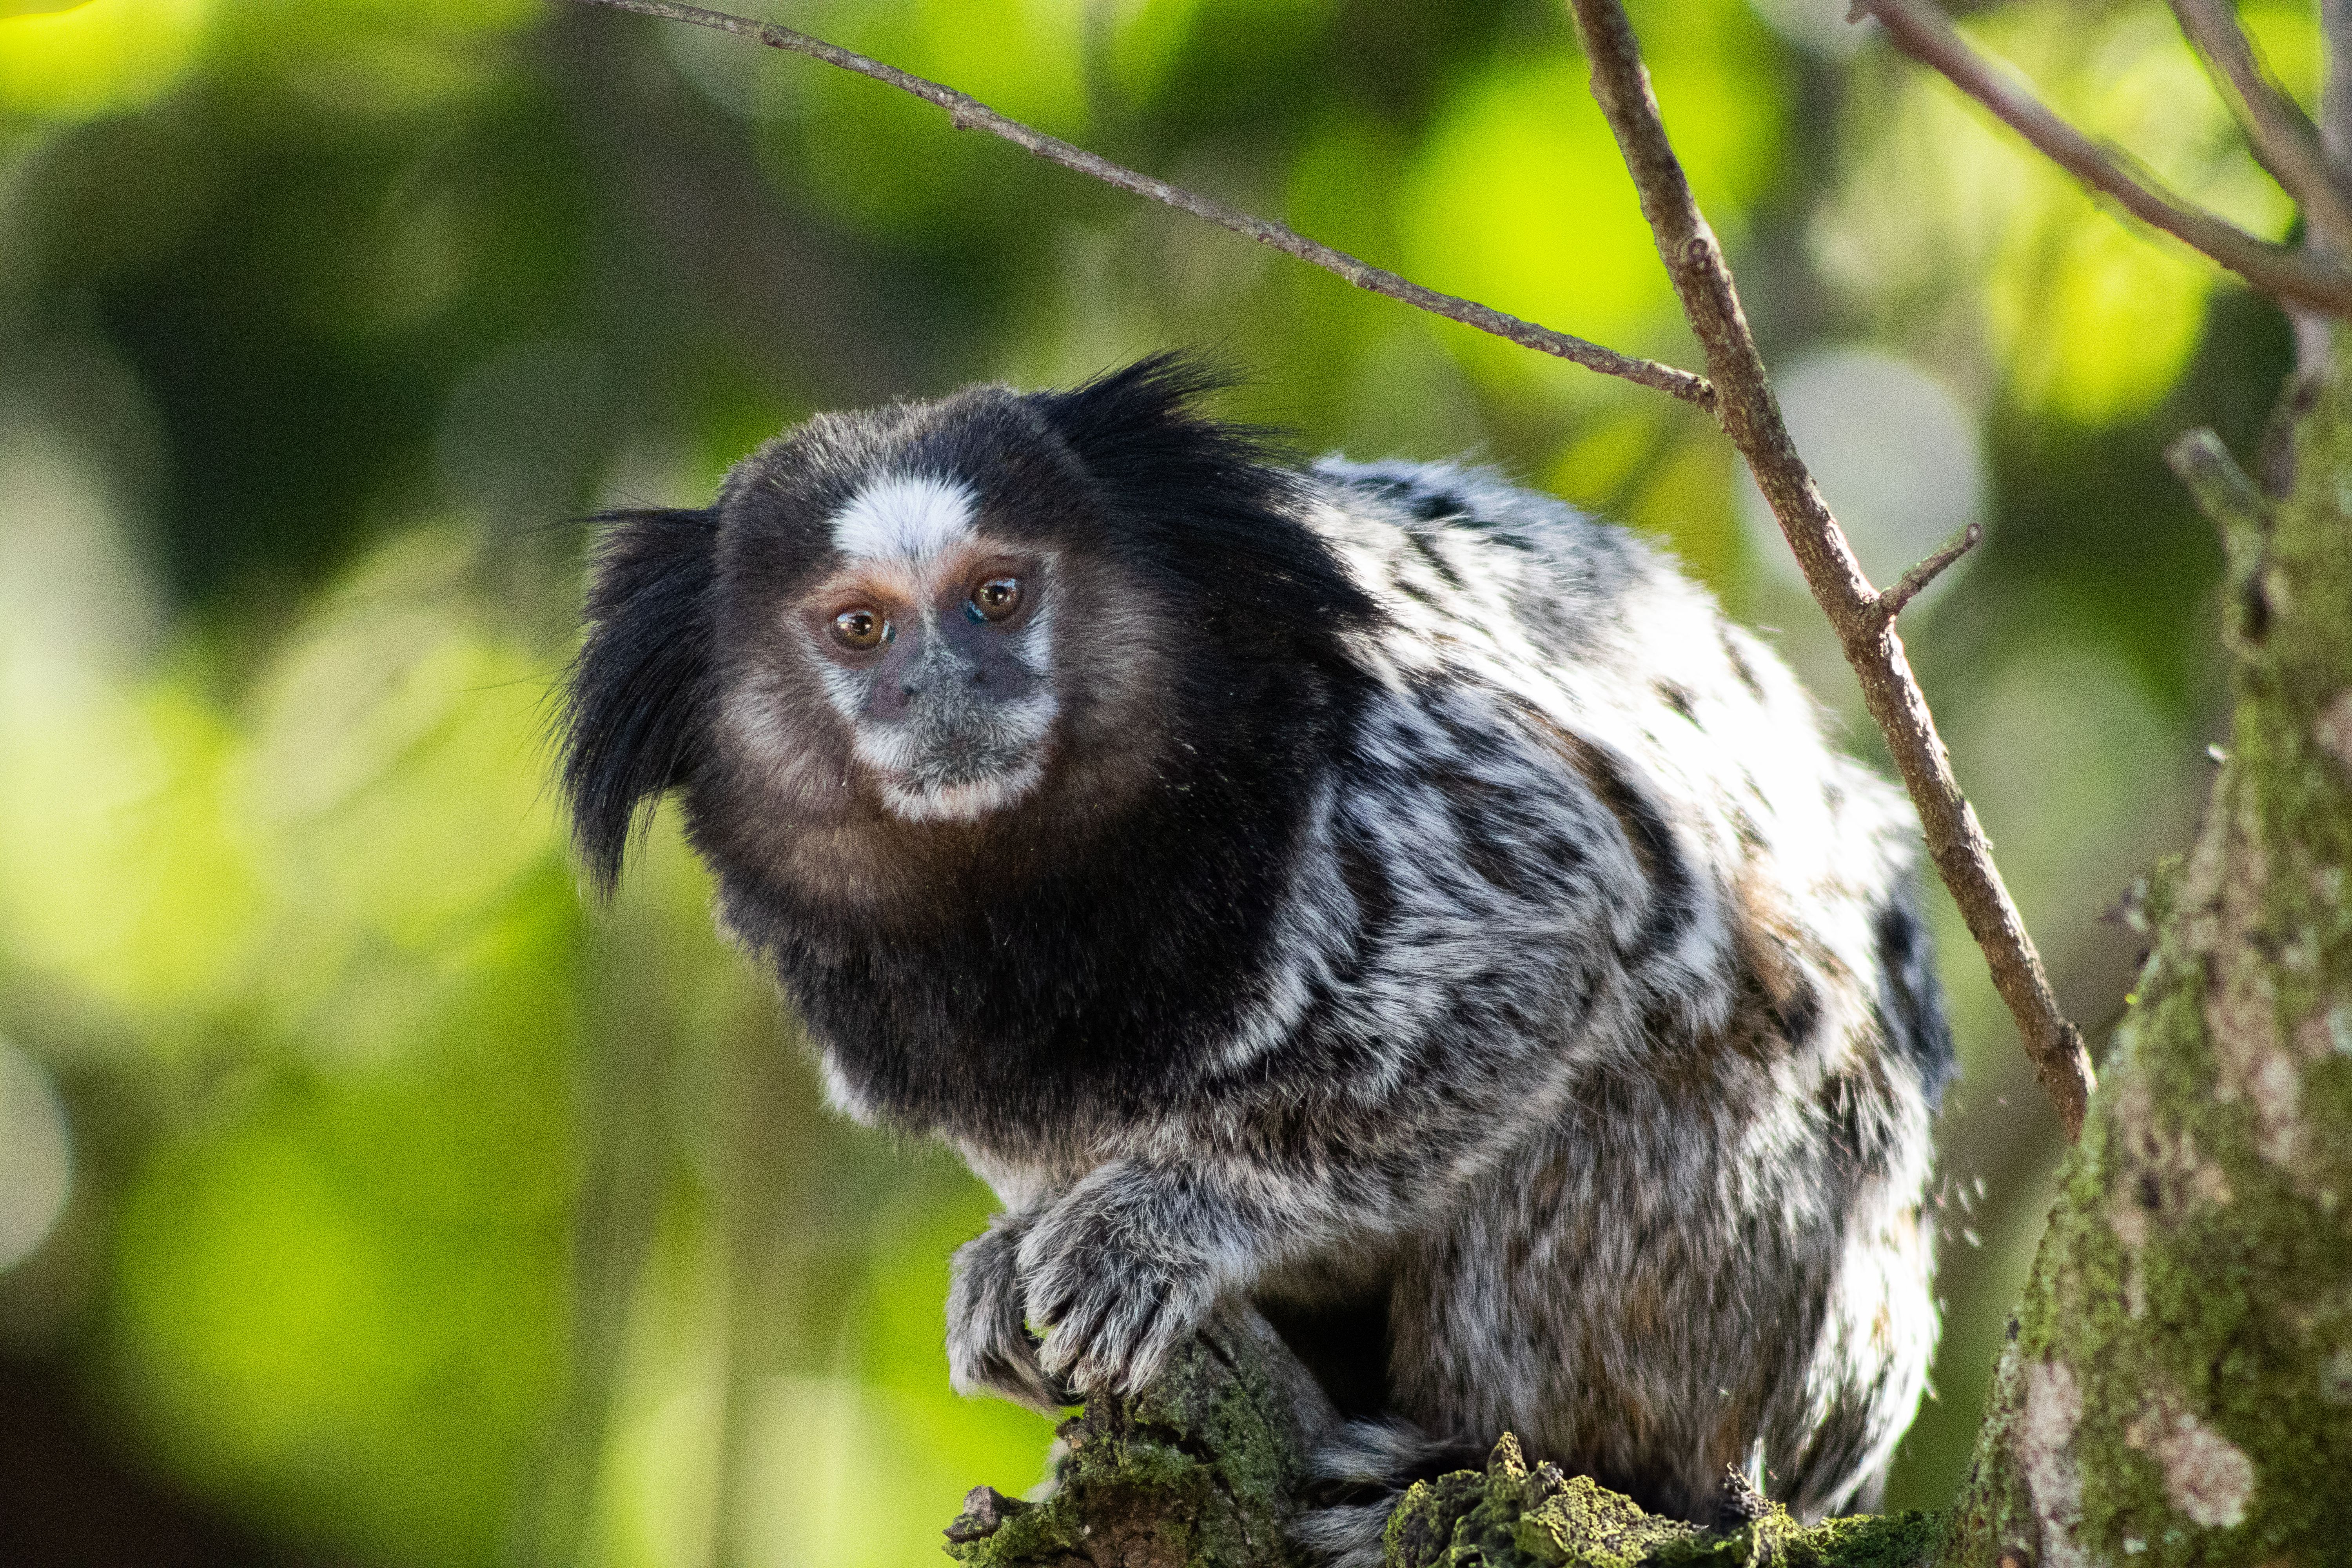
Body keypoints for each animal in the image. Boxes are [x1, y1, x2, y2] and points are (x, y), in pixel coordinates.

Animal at [558, 354, 1952, 1562]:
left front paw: (1156, 1224)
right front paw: (1014, 1258)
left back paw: (1472, 1465)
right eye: (859, 628)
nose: (949, 684)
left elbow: (1540, 945)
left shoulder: (1431, 780)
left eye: (997, 595)